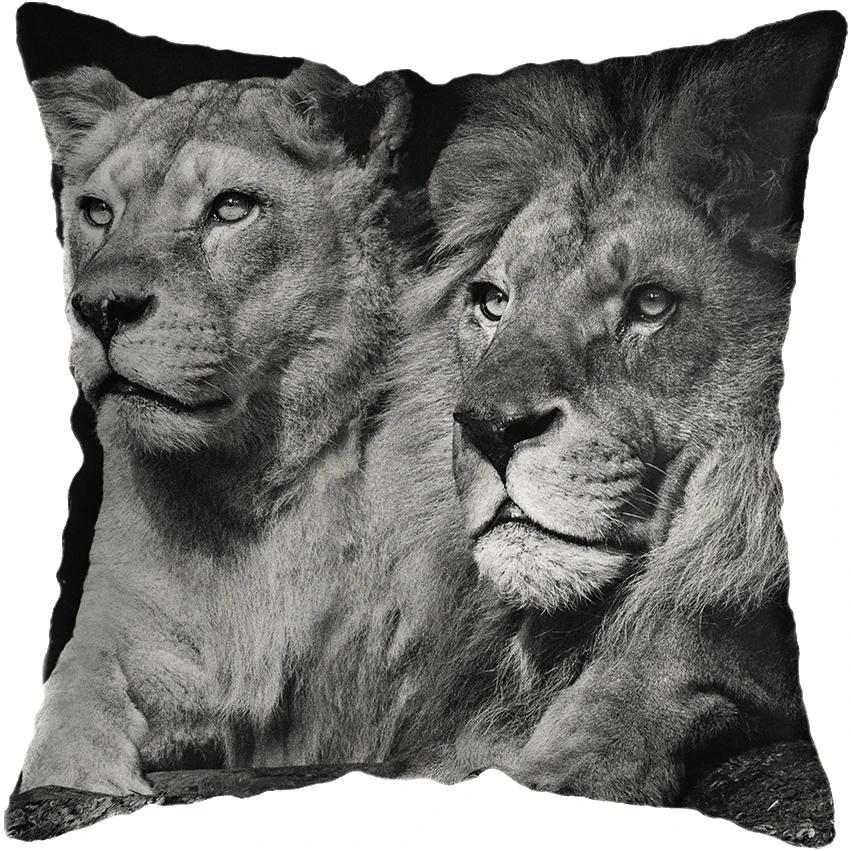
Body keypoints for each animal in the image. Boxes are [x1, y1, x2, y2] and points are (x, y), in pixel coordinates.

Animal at [20, 62, 413, 794]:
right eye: (97, 212)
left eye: (230, 208)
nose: (100, 308)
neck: (241, 490)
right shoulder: (120, 631)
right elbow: (73, 707)